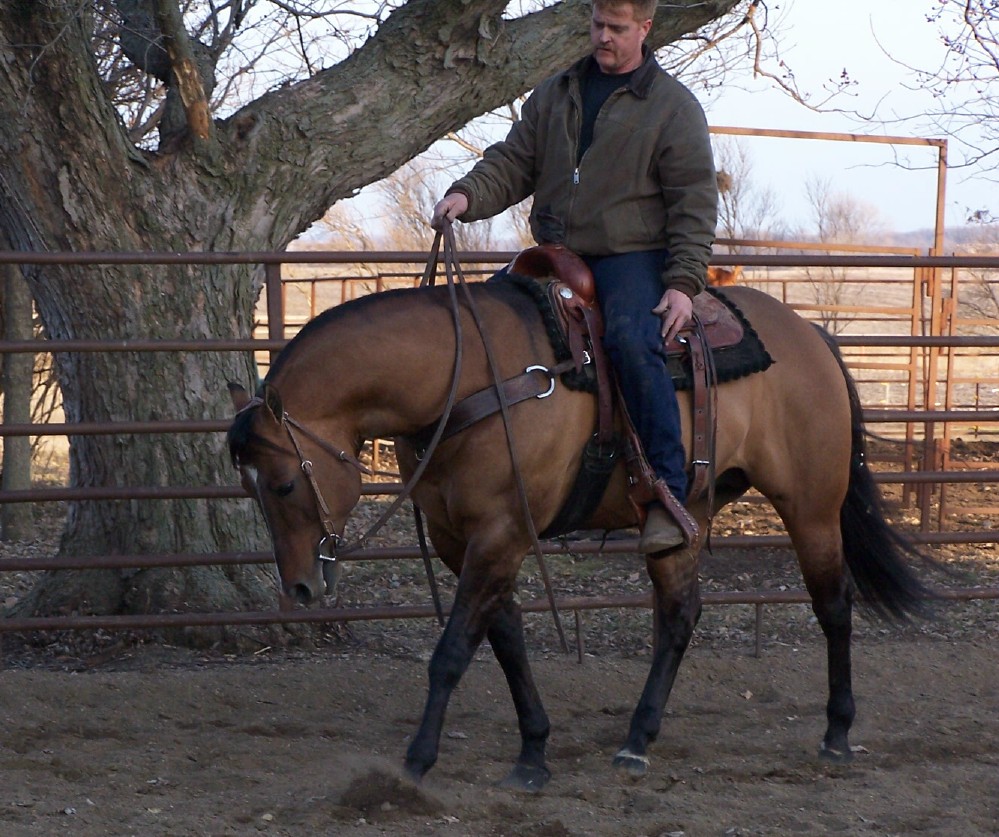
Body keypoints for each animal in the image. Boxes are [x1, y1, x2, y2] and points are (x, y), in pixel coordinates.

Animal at [225, 243, 928, 792]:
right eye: (250, 487)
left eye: (284, 483)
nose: (301, 587)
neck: (468, 377)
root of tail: (812, 337)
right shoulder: (463, 539)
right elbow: (504, 640)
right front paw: (534, 751)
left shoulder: (502, 531)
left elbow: (453, 649)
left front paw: (417, 761)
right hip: (685, 515)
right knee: (680, 615)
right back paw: (637, 740)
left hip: (812, 506)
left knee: (833, 605)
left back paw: (837, 732)